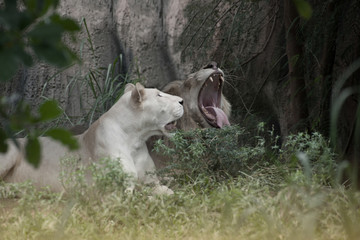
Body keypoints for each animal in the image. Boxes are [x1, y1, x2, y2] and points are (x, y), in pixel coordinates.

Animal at [0, 82, 184, 195]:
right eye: (159, 95)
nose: (182, 100)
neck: (135, 140)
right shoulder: (114, 191)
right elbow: (143, 198)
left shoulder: (151, 181)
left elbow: (167, 192)